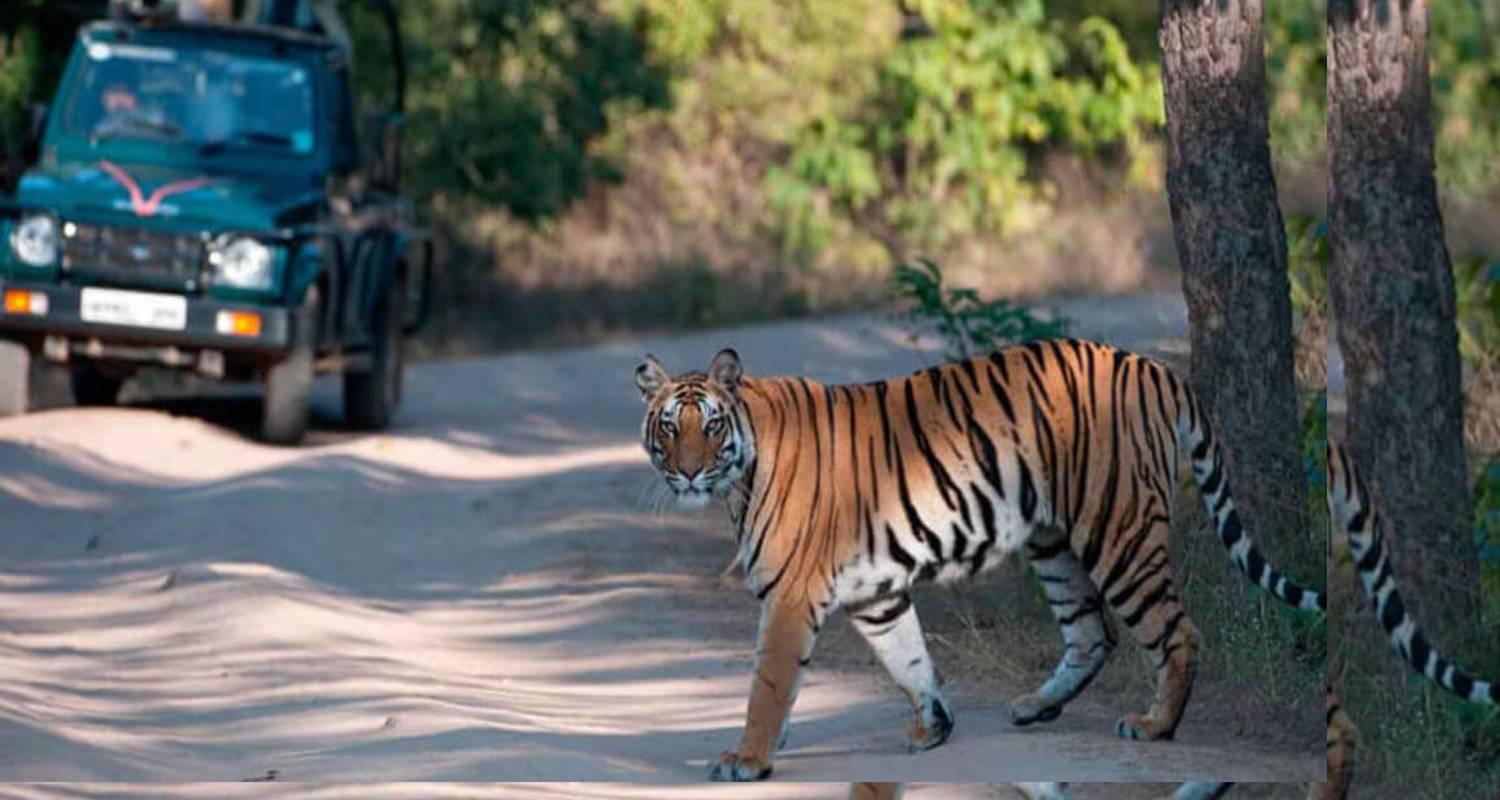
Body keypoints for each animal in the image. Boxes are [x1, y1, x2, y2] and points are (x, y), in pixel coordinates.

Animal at [635, 340, 1324, 781]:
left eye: (711, 426)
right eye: (669, 427)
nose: (688, 472)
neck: (740, 476)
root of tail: (1152, 366)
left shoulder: (791, 595)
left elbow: (770, 684)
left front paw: (748, 759)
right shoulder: (876, 595)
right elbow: (909, 659)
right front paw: (934, 728)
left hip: (1118, 529)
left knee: (1176, 631)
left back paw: (1156, 724)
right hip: (1052, 541)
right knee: (1092, 633)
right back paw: (1034, 706)